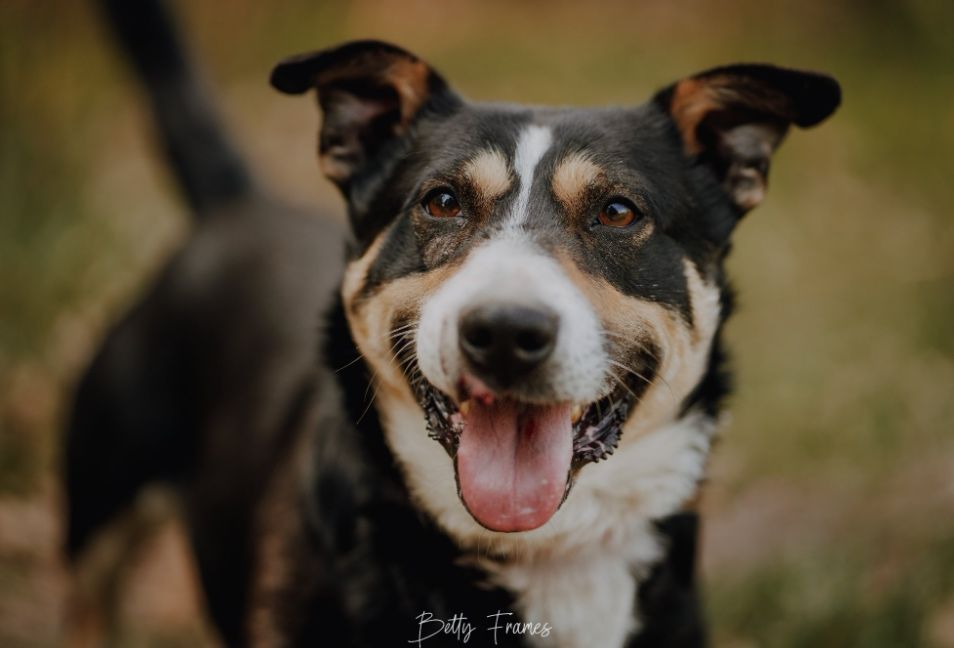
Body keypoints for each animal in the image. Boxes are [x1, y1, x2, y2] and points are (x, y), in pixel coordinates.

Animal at [67, 2, 836, 644]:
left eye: (618, 212)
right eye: (441, 201)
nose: (505, 333)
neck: (541, 550)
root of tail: (237, 204)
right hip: (101, 492)